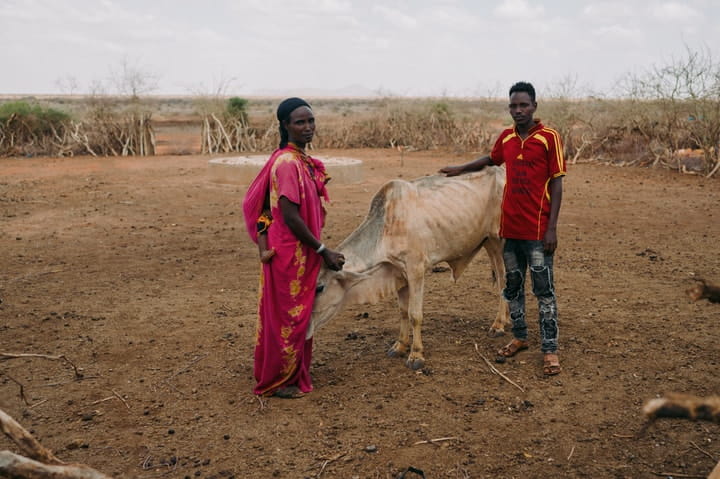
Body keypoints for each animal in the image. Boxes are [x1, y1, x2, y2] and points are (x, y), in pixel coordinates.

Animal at [312, 166, 510, 372]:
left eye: (319, 288)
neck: (385, 230)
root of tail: (501, 171)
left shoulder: (416, 270)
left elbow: (414, 314)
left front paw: (416, 355)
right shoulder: (398, 273)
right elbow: (403, 311)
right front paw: (400, 346)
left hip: (499, 240)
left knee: (504, 280)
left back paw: (499, 325)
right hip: (489, 242)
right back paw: (506, 319)